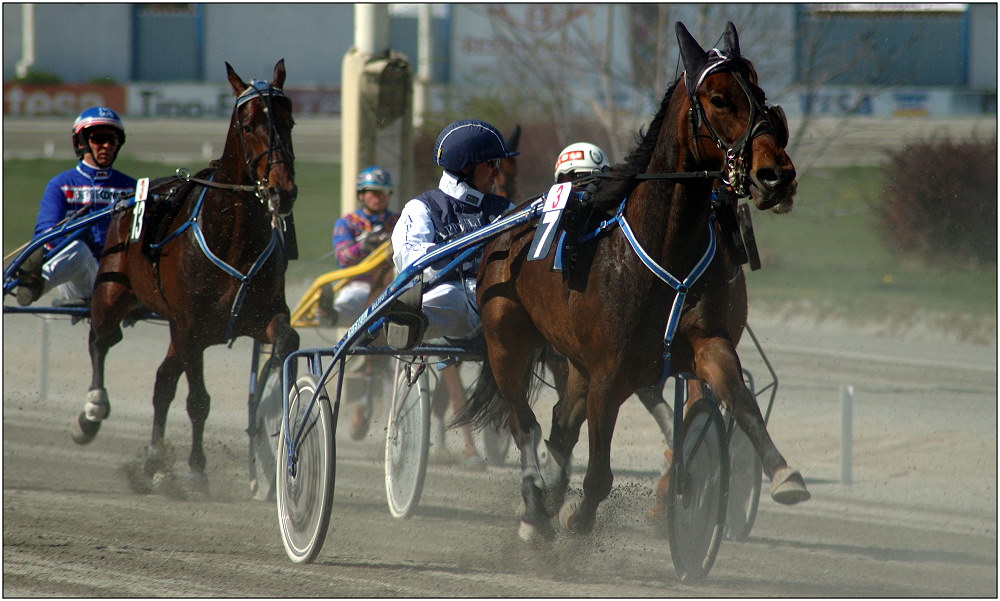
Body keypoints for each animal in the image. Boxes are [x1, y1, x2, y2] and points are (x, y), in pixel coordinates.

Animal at [72, 58, 298, 494]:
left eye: (289, 120)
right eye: (249, 125)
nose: (283, 191)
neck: (232, 235)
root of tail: (130, 198)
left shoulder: (261, 315)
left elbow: (286, 339)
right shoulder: (190, 325)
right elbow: (198, 401)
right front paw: (196, 469)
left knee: (162, 381)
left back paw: (155, 459)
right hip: (115, 291)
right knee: (101, 339)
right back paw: (92, 412)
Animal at [458, 22, 808, 540]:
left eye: (762, 96)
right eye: (719, 99)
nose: (776, 176)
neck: (664, 248)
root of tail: (508, 225)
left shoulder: (705, 342)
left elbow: (741, 401)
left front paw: (783, 474)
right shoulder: (609, 373)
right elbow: (599, 476)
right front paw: (576, 518)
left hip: (571, 360)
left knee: (561, 423)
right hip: (506, 341)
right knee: (525, 424)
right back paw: (536, 511)